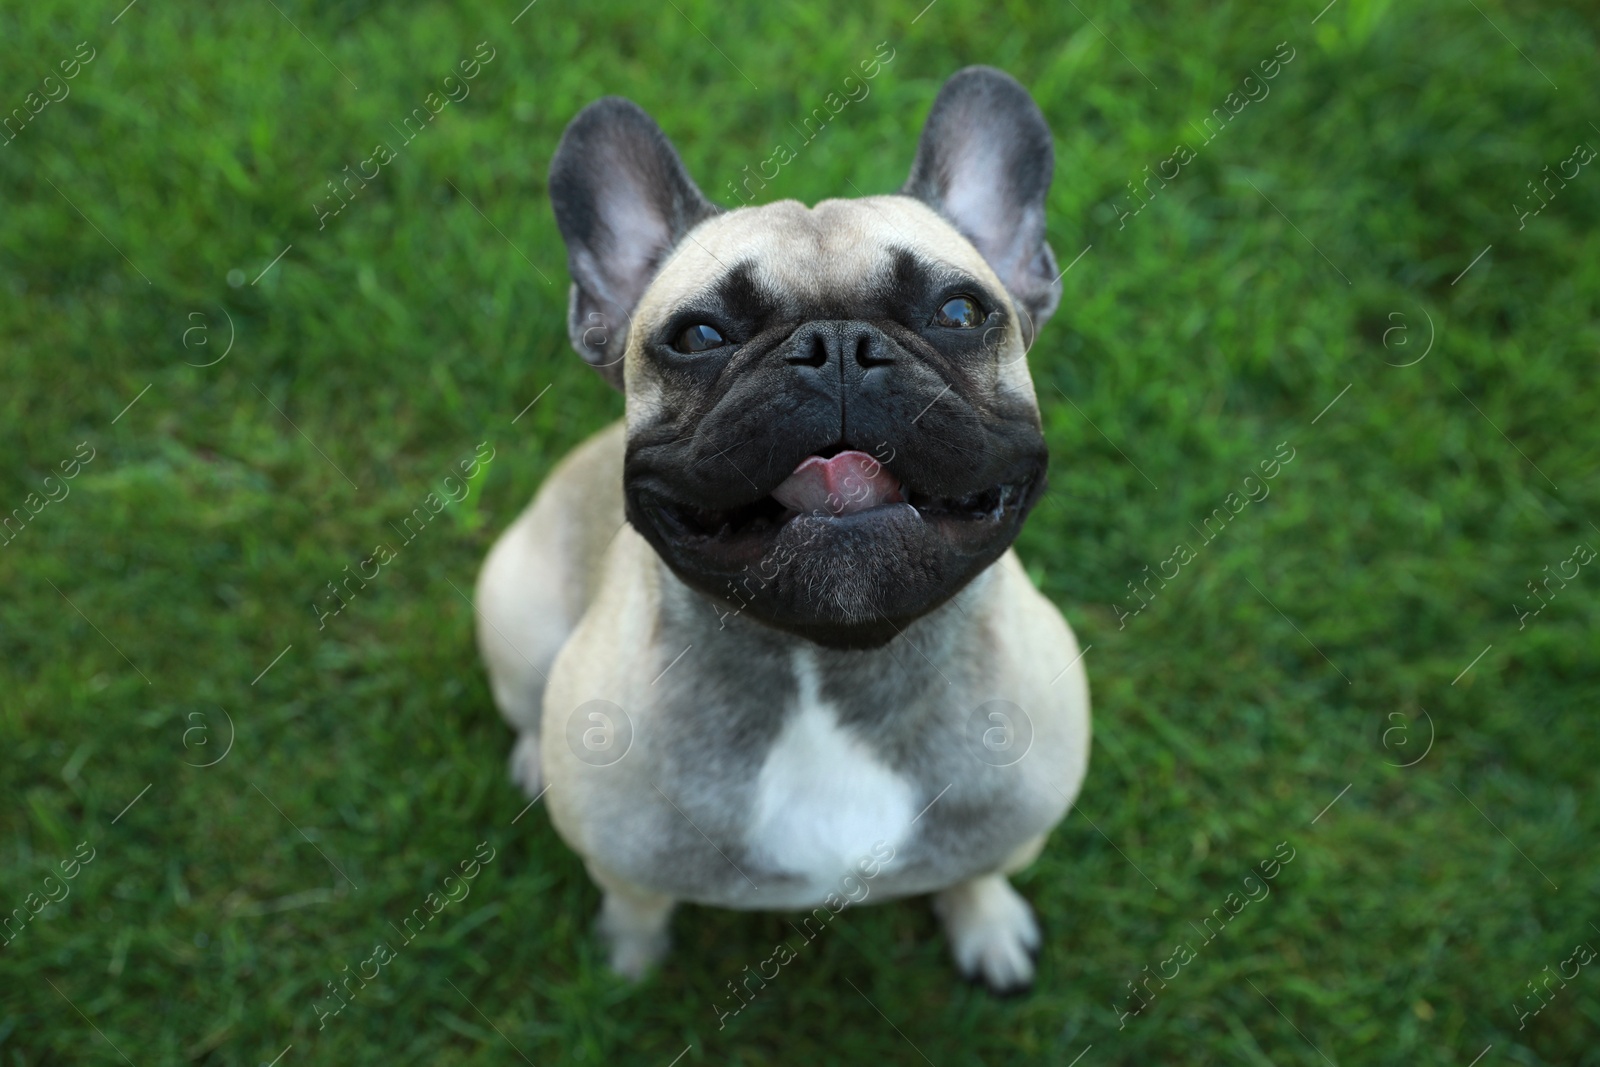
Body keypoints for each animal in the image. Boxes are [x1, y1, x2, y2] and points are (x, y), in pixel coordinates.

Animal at [473, 64, 1094, 991]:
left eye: (958, 311)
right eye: (697, 334)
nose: (837, 345)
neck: (827, 666)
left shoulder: (1018, 821)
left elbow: (978, 871)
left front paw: (987, 925)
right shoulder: (622, 857)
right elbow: (636, 900)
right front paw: (630, 957)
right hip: (514, 606)